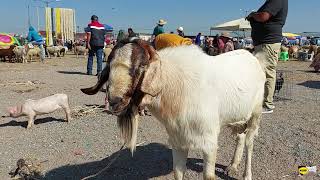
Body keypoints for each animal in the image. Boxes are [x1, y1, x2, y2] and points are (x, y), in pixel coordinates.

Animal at [81, 39, 266, 180]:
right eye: (110, 65)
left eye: (141, 66)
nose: (115, 101)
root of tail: (252, 57)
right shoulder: (178, 141)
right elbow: (178, 173)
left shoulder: (210, 143)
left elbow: (208, 176)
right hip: (237, 116)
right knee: (240, 137)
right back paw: (232, 166)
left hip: (256, 113)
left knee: (249, 142)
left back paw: (246, 175)